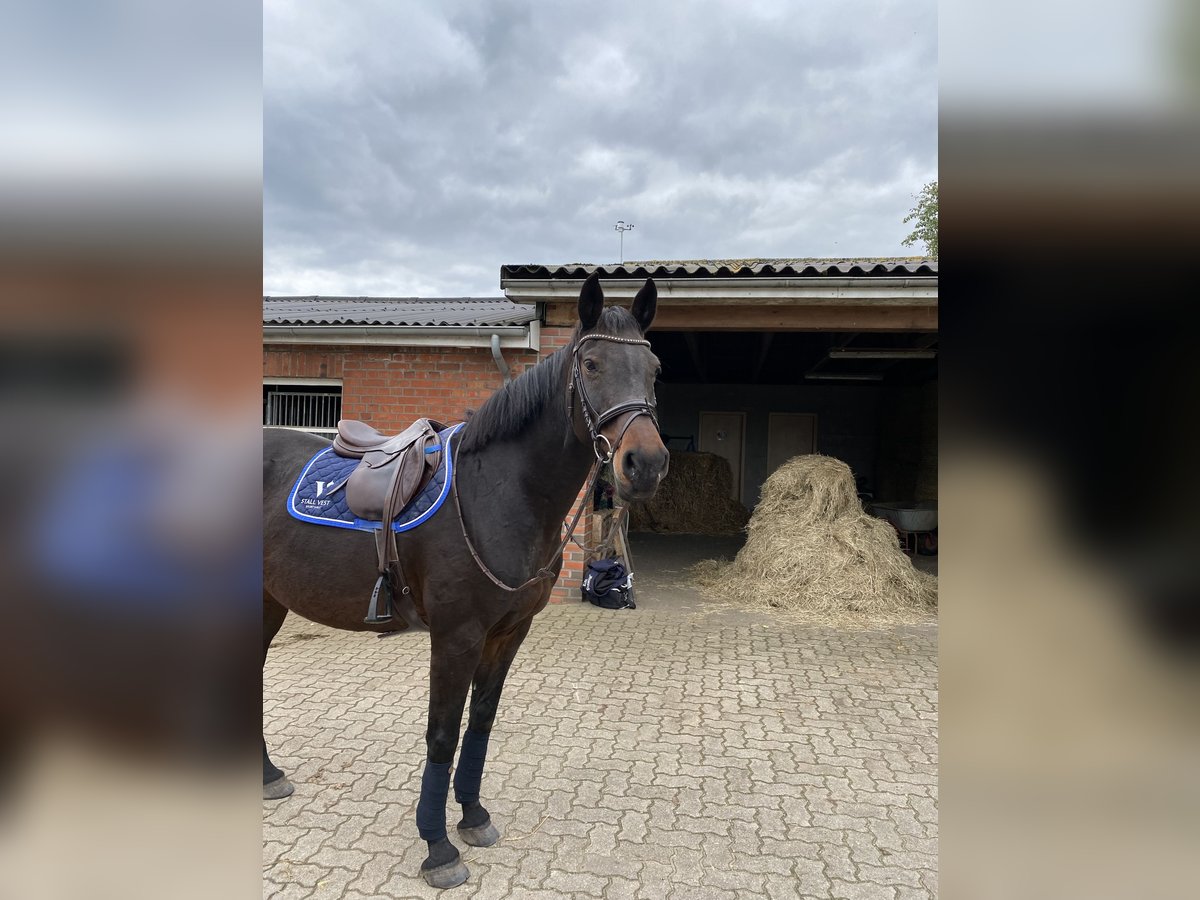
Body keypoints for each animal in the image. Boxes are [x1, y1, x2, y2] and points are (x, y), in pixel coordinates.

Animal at [264, 273, 672, 888]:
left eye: (653, 370)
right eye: (592, 364)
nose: (643, 465)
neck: (497, 492)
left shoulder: (508, 633)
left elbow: (480, 722)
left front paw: (474, 816)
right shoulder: (456, 636)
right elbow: (442, 732)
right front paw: (437, 847)